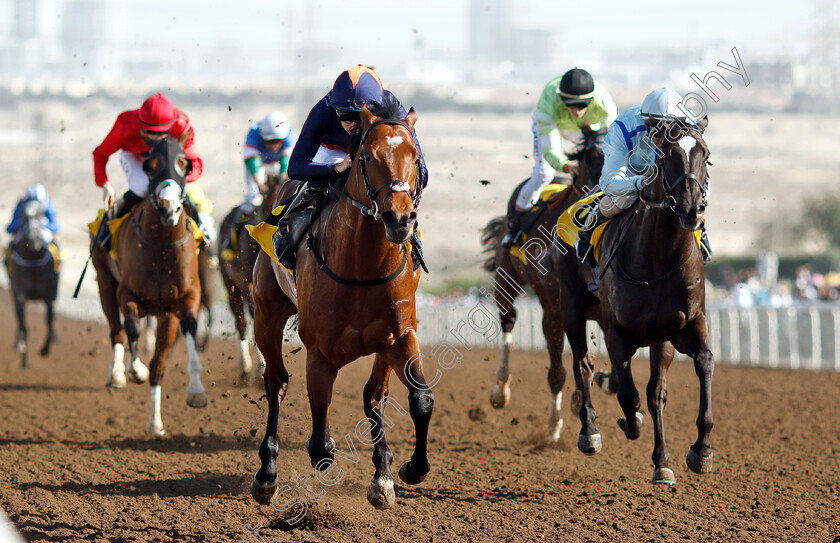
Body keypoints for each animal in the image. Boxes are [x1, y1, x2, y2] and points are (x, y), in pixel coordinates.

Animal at [92, 137, 207, 438]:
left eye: (184, 165)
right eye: (150, 166)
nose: (169, 208)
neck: (162, 247)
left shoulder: (184, 300)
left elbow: (188, 331)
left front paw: (196, 392)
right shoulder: (126, 294)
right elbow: (131, 327)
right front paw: (134, 371)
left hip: (164, 314)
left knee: (158, 364)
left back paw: (155, 422)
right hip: (104, 282)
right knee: (117, 331)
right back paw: (117, 375)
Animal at [249, 100, 434, 512]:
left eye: (415, 157)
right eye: (366, 155)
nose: (399, 218)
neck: (362, 266)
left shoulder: (401, 337)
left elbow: (420, 399)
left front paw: (407, 470)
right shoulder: (320, 352)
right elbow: (320, 442)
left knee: (374, 396)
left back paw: (382, 473)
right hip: (266, 315)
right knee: (276, 383)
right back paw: (266, 475)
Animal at [480, 130, 612, 444]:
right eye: (592, 156)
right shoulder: (553, 311)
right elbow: (557, 372)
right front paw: (554, 427)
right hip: (506, 279)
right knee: (508, 319)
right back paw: (500, 390)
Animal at [576, 119, 716, 484]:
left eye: (705, 154)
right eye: (666, 156)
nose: (691, 209)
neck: (658, 259)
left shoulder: (688, 324)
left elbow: (703, 364)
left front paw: (701, 450)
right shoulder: (616, 330)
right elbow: (628, 393)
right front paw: (629, 422)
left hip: (660, 338)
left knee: (656, 393)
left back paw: (662, 463)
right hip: (568, 306)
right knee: (583, 365)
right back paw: (592, 432)